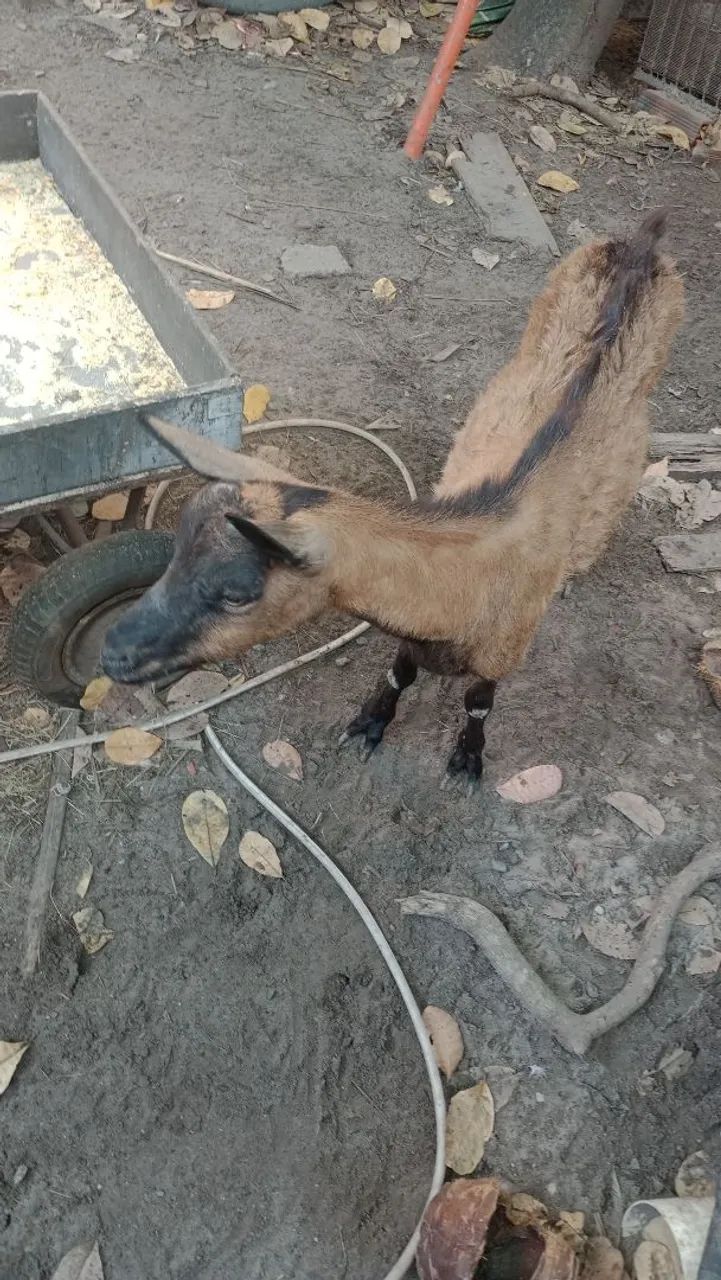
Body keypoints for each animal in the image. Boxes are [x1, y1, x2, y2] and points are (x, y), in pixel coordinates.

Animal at [102, 212, 684, 786]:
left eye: (237, 595)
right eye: (176, 552)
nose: (113, 652)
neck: (476, 561)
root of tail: (641, 245)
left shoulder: (504, 649)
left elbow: (478, 702)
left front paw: (466, 761)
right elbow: (400, 671)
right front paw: (369, 724)